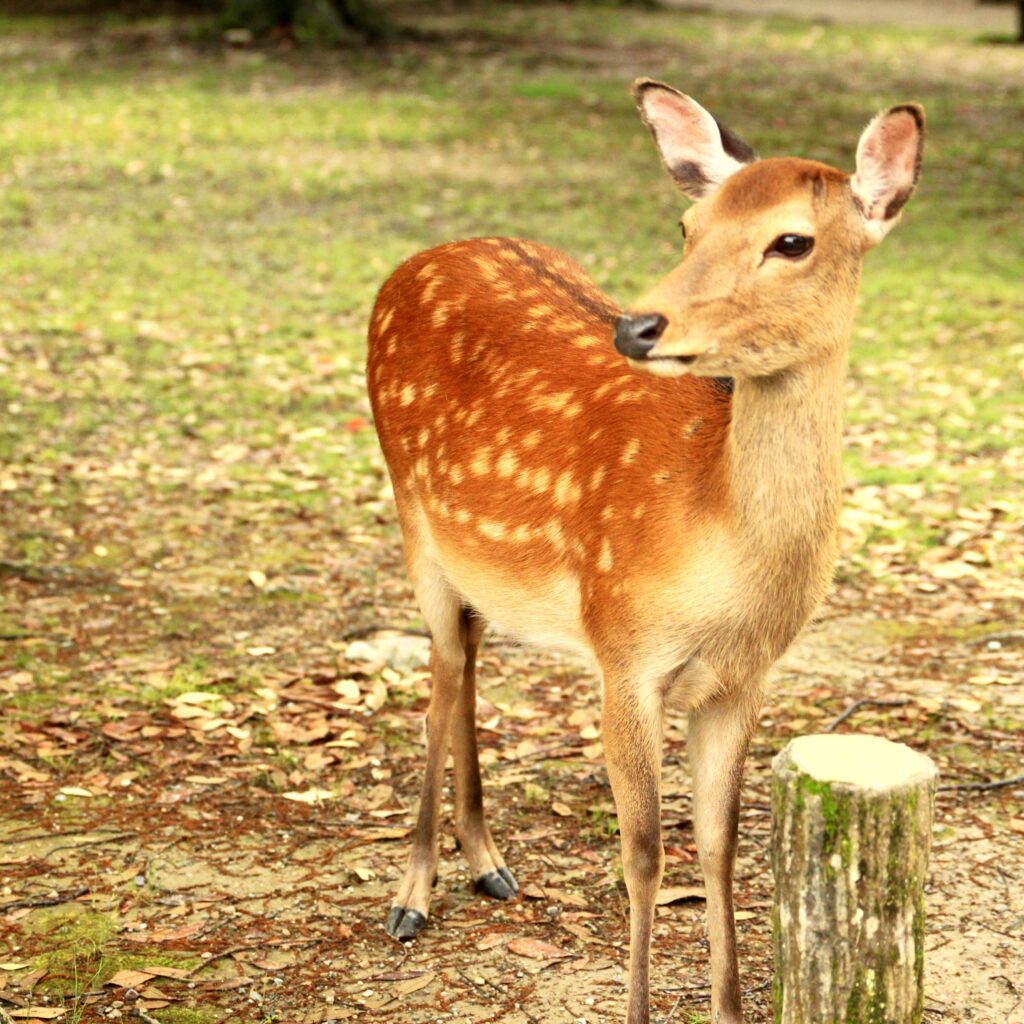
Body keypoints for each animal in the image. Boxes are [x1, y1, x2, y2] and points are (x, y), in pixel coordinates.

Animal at [366, 80, 924, 1024]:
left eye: (792, 240)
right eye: (686, 226)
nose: (637, 327)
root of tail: (412, 262)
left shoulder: (742, 678)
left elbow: (719, 848)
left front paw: (728, 1008)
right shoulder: (623, 648)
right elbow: (644, 855)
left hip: (481, 567)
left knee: (467, 659)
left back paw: (488, 864)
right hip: (413, 522)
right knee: (440, 672)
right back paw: (412, 895)